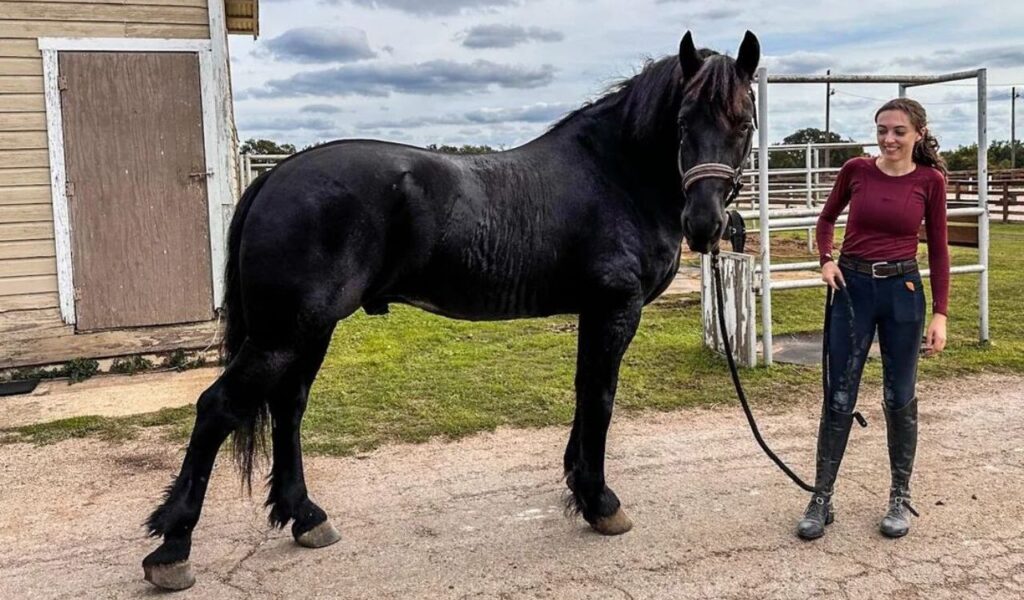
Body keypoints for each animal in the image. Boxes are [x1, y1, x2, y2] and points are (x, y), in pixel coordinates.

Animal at [142, 30, 761, 590]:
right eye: (683, 121)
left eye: (744, 123)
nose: (704, 224)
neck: (614, 174)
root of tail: (274, 177)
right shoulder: (614, 307)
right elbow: (601, 399)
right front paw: (600, 501)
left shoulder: (594, 312)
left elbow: (585, 395)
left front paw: (577, 484)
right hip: (284, 333)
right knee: (218, 408)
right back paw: (172, 549)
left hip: (308, 331)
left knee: (288, 407)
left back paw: (306, 516)